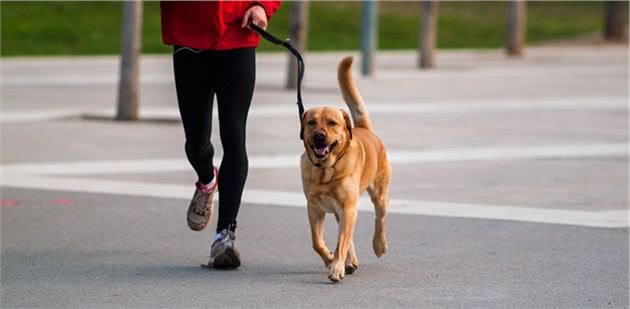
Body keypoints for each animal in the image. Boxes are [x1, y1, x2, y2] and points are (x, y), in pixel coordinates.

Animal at [300, 56, 390, 282]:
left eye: (332, 123)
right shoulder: (314, 208)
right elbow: (317, 242)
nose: (319, 136)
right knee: (347, 236)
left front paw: (336, 267)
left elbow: (341, 242)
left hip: (379, 196)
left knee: (380, 220)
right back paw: (349, 261)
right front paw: (330, 259)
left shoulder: (348, 207)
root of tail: (364, 129)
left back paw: (379, 245)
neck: (326, 170)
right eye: (311, 122)